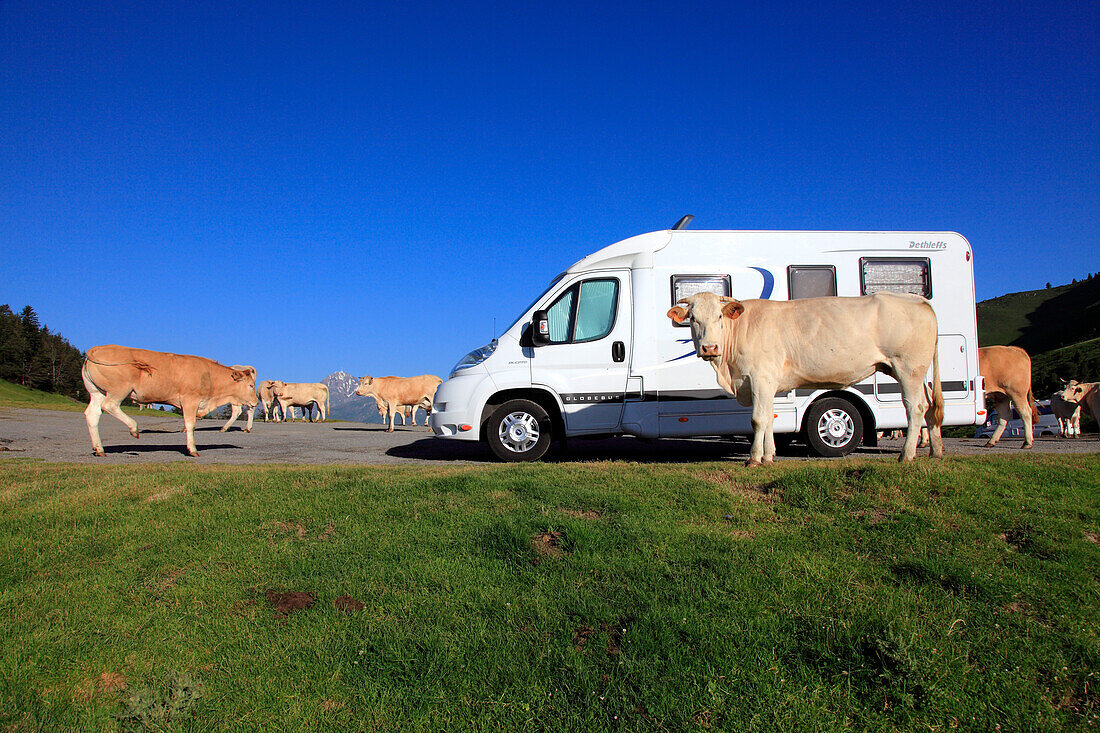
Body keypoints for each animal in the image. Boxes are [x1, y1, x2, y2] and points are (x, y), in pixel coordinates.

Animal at [81, 343, 257, 457]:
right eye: (250, 385)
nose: (255, 402)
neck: (209, 376)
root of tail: (97, 349)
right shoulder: (189, 400)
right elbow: (190, 425)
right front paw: (192, 450)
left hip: (96, 392)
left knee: (92, 415)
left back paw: (99, 449)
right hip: (118, 390)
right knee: (110, 406)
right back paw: (134, 428)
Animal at [664, 290, 941, 462]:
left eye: (719, 316)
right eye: (693, 318)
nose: (709, 348)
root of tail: (917, 300)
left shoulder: (761, 378)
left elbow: (758, 419)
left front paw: (754, 458)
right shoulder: (765, 383)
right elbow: (770, 418)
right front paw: (769, 456)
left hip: (908, 368)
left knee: (915, 407)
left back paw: (906, 455)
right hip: (918, 372)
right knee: (930, 405)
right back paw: (935, 451)